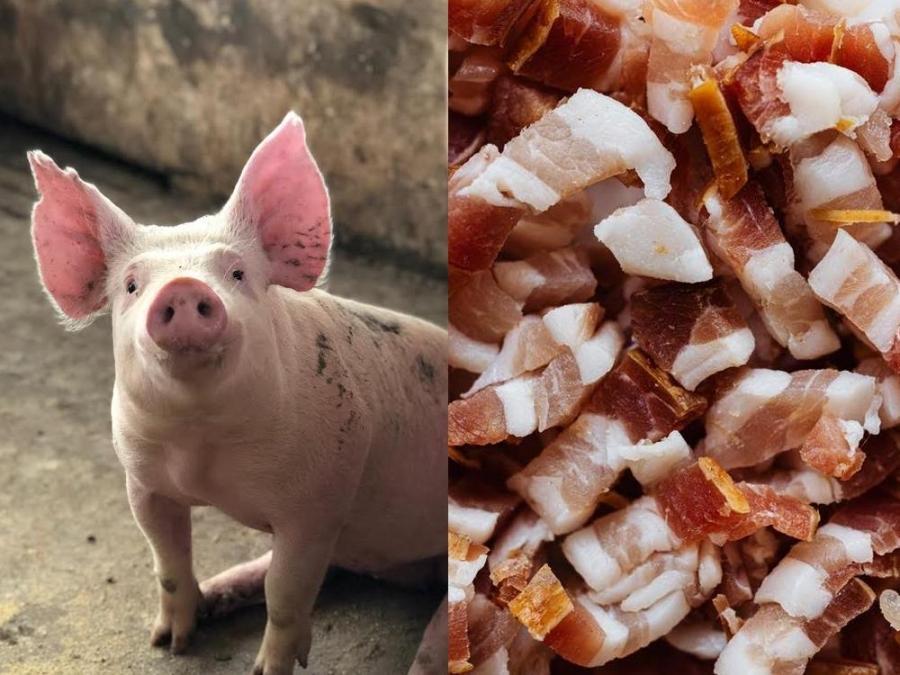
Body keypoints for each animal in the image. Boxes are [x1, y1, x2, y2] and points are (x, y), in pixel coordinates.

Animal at [27, 112, 448, 674]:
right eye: (132, 286)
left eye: (237, 273)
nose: (182, 288)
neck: (202, 444)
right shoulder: (143, 482)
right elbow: (168, 562)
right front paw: (169, 643)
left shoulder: (319, 500)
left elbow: (286, 593)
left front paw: (266, 669)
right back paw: (217, 594)